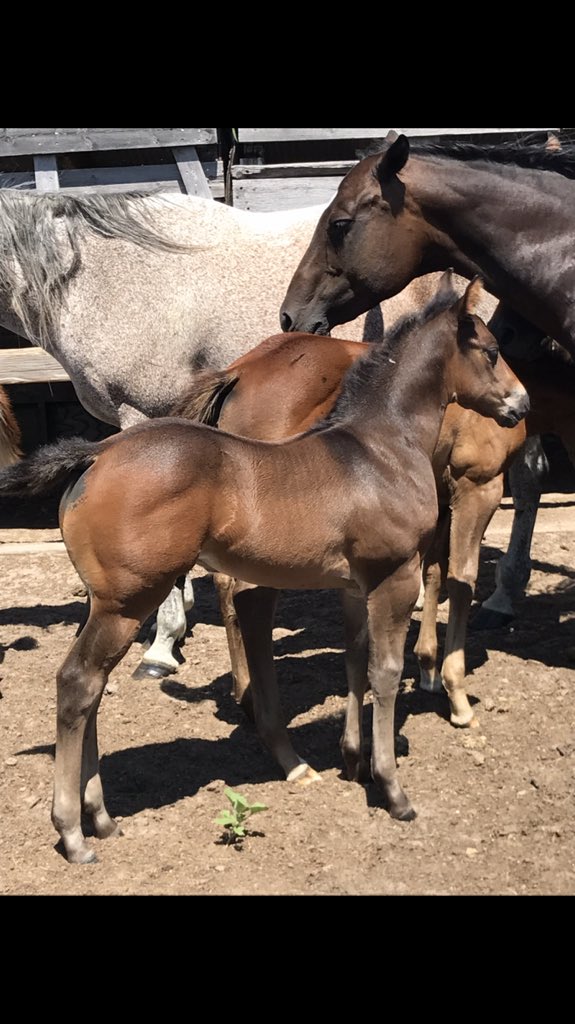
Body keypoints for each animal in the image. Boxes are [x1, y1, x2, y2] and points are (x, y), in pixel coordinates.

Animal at [0, 277, 528, 863]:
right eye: (492, 350)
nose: (521, 403)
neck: (379, 449)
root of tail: (95, 454)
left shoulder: (354, 584)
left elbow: (354, 660)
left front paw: (353, 759)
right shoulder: (395, 576)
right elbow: (385, 673)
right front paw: (393, 789)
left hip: (105, 602)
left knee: (90, 689)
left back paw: (100, 817)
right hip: (129, 602)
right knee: (78, 683)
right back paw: (73, 832)